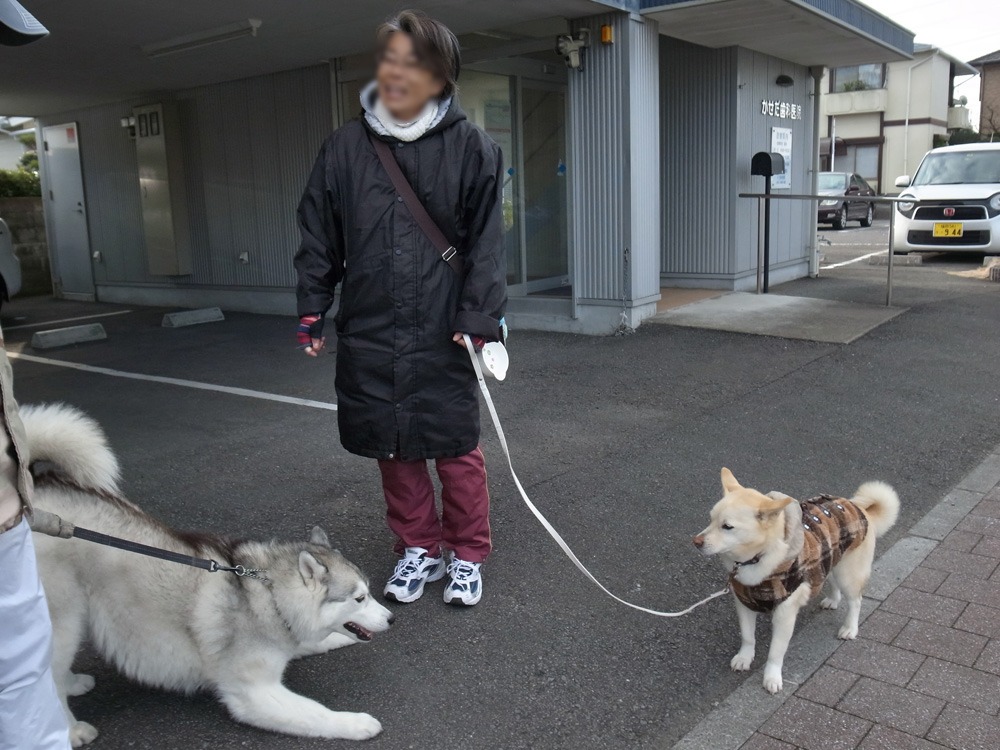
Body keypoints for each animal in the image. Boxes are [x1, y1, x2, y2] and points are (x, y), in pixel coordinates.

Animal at [696, 470, 900, 692]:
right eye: (710, 519)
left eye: (727, 526)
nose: (696, 542)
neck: (756, 559)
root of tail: (858, 506)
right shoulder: (744, 604)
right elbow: (748, 636)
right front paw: (744, 658)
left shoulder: (784, 614)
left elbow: (775, 652)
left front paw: (772, 677)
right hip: (831, 560)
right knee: (832, 581)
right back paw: (832, 600)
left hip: (848, 574)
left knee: (856, 601)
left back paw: (850, 628)